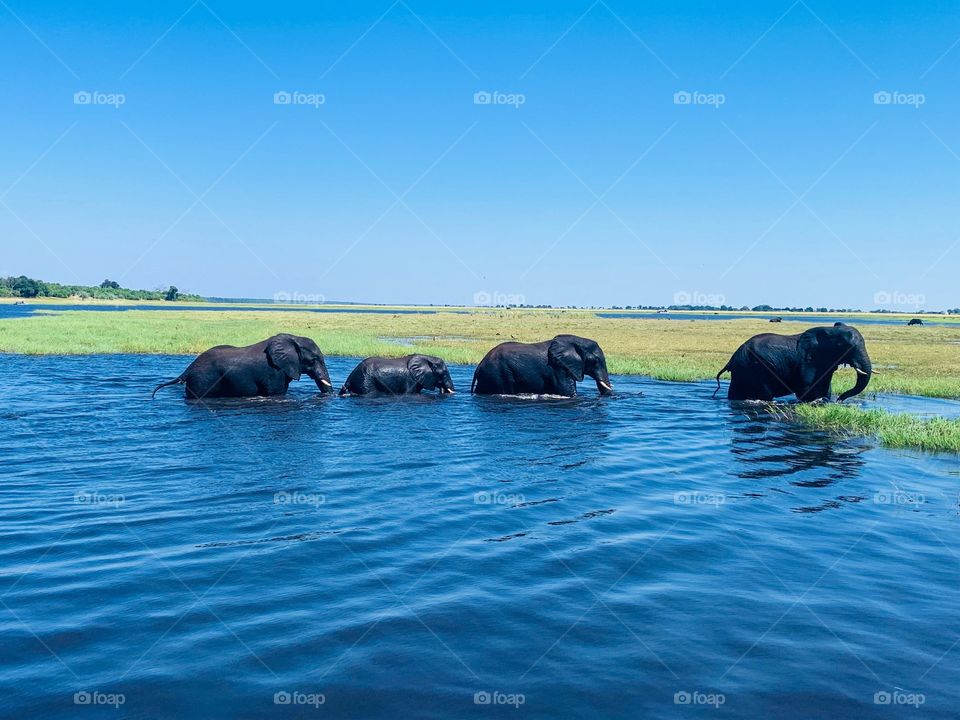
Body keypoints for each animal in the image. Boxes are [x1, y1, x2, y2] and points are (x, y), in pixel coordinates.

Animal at [152, 333, 333, 399]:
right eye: (314, 359)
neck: (293, 338)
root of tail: (188, 369)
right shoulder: (273, 372)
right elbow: (276, 393)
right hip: (202, 381)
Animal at [714, 322, 875, 402]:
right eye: (846, 347)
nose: (840, 400)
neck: (830, 331)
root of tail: (731, 360)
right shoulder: (807, 361)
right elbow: (806, 390)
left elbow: (825, 388)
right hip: (754, 368)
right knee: (764, 394)